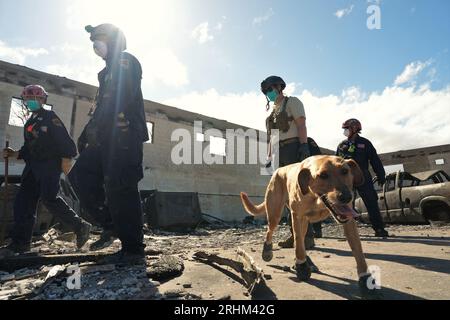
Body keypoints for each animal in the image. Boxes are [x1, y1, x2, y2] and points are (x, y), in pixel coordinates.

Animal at [241, 156, 374, 294]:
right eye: (323, 175)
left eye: (345, 171)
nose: (347, 196)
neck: (316, 198)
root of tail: (279, 170)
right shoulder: (297, 217)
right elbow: (299, 244)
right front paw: (302, 266)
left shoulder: (348, 220)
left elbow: (358, 250)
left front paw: (365, 278)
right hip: (275, 213)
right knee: (271, 231)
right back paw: (268, 251)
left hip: (303, 223)